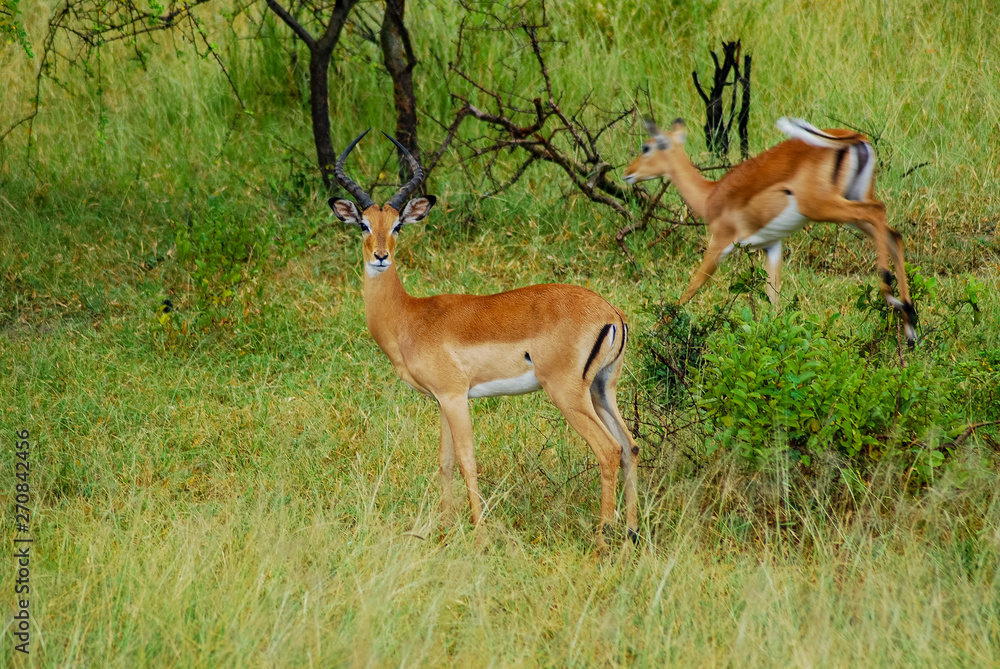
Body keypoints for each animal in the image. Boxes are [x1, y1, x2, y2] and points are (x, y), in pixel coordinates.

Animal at [332, 130, 636, 548]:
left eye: (397, 226)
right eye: (363, 223)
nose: (380, 257)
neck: (411, 318)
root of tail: (611, 314)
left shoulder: (455, 396)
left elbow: (467, 461)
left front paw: (479, 537)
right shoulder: (442, 400)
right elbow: (444, 462)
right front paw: (444, 533)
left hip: (568, 393)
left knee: (608, 449)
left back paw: (602, 541)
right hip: (603, 388)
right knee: (630, 445)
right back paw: (634, 532)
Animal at [628, 117, 916, 344]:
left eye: (646, 146)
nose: (628, 172)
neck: (710, 195)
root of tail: (854, 138)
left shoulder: (719, 243)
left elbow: (693, 286)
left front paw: (650, 331)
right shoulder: (772, 245)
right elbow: (774, 299)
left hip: (826, 207)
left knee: (878, 212)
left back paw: (890, 295)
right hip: (851, 205)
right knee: (893, 234)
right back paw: (909, 322)